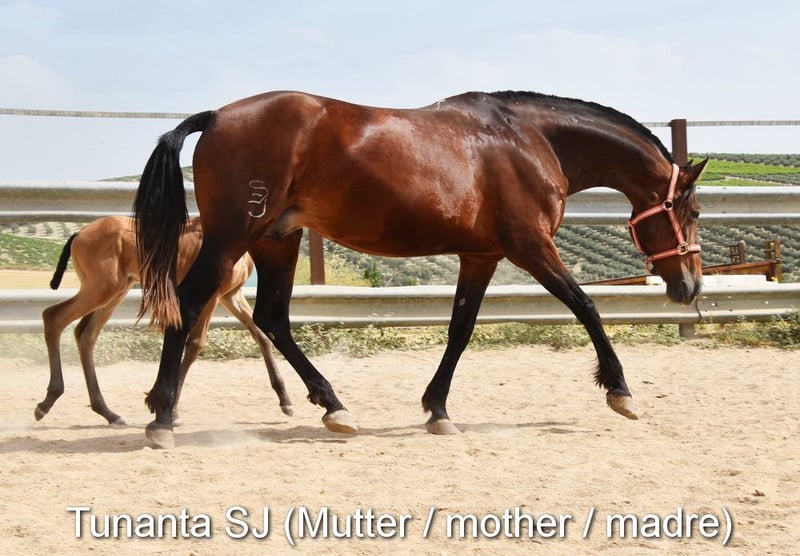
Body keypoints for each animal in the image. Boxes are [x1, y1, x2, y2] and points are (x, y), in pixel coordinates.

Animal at [36, 215, 293, 426]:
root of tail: (80, 232)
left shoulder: (231, 295)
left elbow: (261, 336)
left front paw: (285, 400)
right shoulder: (212, 296)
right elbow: (195, 344)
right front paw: (171, 411)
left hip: (115, 291)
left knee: (86, 334)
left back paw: (108, 413)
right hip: (102, 289)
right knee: (54, 316)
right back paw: (47, 401)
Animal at [132, 90, 706, 448]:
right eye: (696, 212)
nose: (691, 287)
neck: (530, 141)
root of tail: (215, 117)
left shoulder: (481, 256)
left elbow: (460, 330)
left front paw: (438, 411)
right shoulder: (531, 247)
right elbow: (586, 306)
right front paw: (620, 392)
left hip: (278, 240)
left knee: (273, 318)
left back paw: (333, 406)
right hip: (232, 239)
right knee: (188, 304)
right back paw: (162, 416)